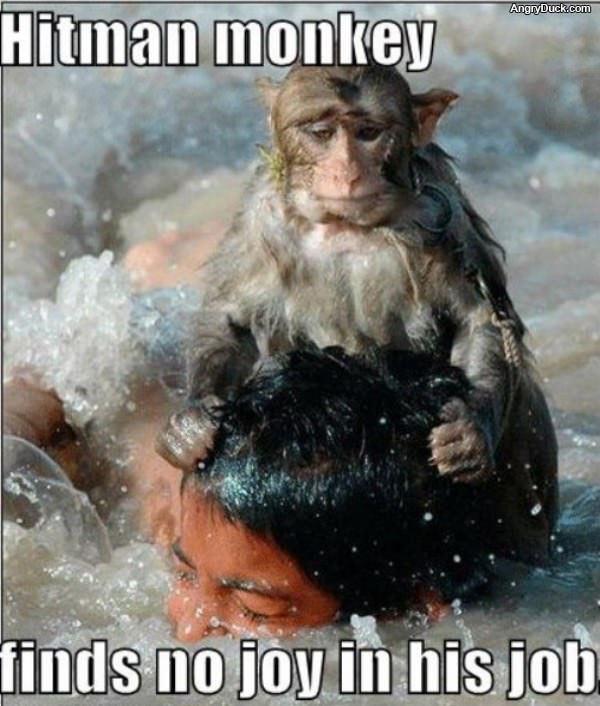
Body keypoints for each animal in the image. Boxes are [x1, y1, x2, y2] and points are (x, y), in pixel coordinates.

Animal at [156, 62, 558, 564]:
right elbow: (228, 319)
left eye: (368, 133)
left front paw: (471, 430)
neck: (345, 226)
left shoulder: (441, 214)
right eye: (322, 133)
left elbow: (478, 319)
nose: (346, 171)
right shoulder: (260, 217)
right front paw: (192, 421)